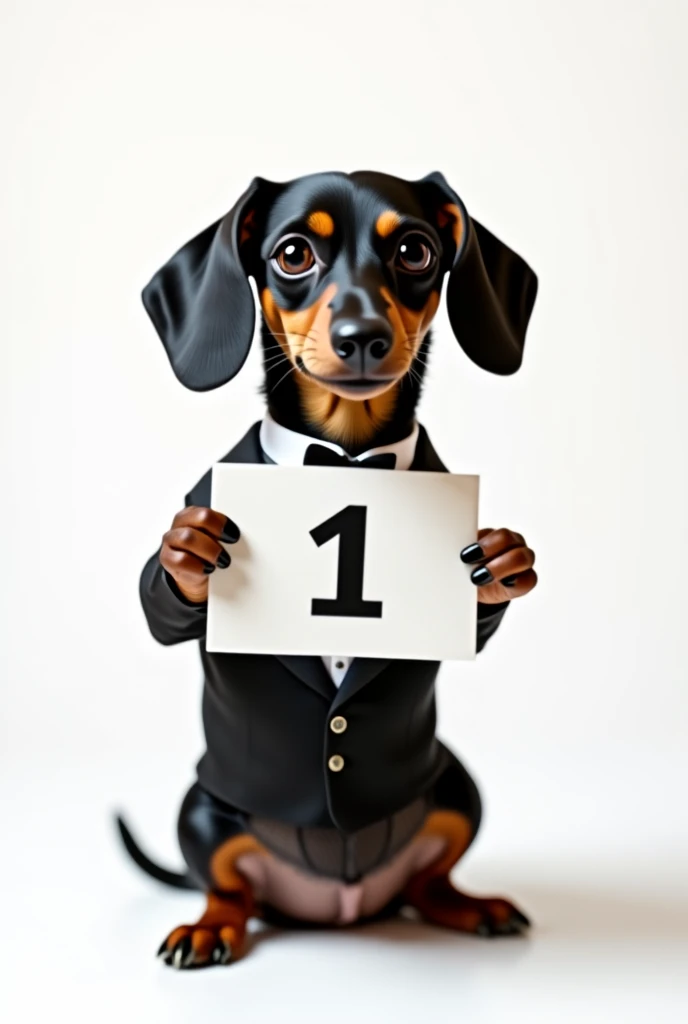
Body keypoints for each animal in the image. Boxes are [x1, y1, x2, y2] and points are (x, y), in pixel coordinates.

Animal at [116, 167, 536, 966]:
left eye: (414, 250)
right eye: (292, 254)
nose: (363, 338)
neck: (344, 457)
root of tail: (340, 906)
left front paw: (500, 566)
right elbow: (163, 606)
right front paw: (188, 556)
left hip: (456, 790)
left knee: (428, 882)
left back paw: (471, 907)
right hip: (205, 813)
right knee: (230, 890)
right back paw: (209, 925)